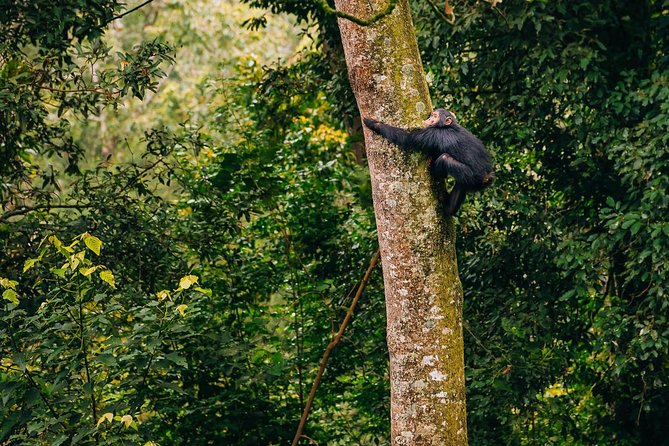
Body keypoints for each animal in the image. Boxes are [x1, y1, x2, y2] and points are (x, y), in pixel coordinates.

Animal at [363, 108, 494, 216]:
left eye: (435, 116)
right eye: (432, 115)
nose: (429, 118)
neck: (449, 126)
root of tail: (488, 177)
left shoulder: (432, 133)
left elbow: (407, 139)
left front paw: (373, 124)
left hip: (471, 176)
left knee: (444, 158)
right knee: (460, 186)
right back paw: (448, 208)